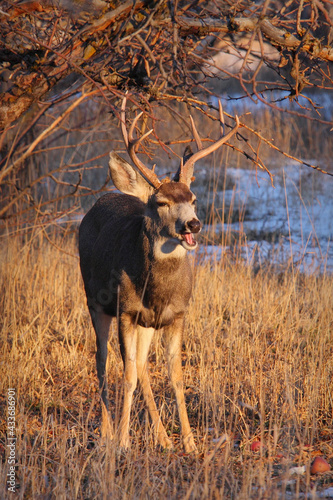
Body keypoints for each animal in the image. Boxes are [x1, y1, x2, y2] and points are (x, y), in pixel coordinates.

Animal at [78, 96, 239, 454]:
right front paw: (124, 441)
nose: (193, 224)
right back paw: (108, 431)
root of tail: (105, 197)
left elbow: (175, 377)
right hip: (95, 301)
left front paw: (189, 442)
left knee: (140, 366)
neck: (158, 290)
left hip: (147, 324)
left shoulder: (177, 315)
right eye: (162, 202)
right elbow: (125, 375)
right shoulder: (125, 310)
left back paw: (163, 437)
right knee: (101, 360)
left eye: (193, 198)